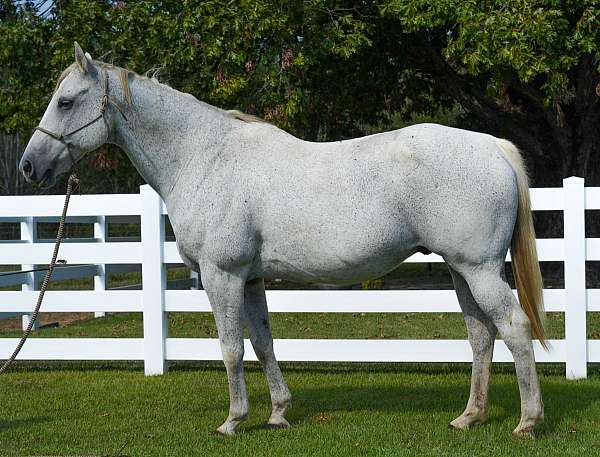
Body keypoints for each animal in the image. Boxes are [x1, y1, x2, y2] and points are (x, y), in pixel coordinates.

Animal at [18, 44, 548, 436]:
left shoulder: (222, 275)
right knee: (481, 336)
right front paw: (277, 413)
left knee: (513, 328)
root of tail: (490, 146)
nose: (28, 166)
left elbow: (231, 348)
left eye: (66, 101)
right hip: (462, 270)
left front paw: (233, 421)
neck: (203, 157)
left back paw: (527, 421)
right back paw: (469, 417)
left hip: (479, 270)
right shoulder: (251, 279)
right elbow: (263, 342)